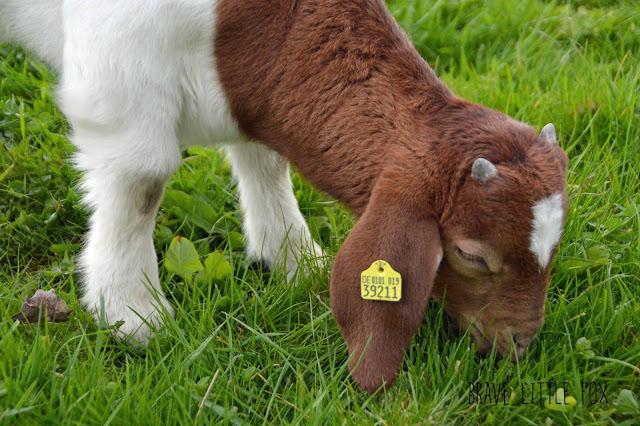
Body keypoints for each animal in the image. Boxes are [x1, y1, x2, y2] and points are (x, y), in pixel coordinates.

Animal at [1, 0, 568, 392]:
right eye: (470, 253)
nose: (520, 344)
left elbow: (266, 158)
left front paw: (296, 260)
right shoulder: (119, 78)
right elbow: (142, 182)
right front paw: (134, 315)